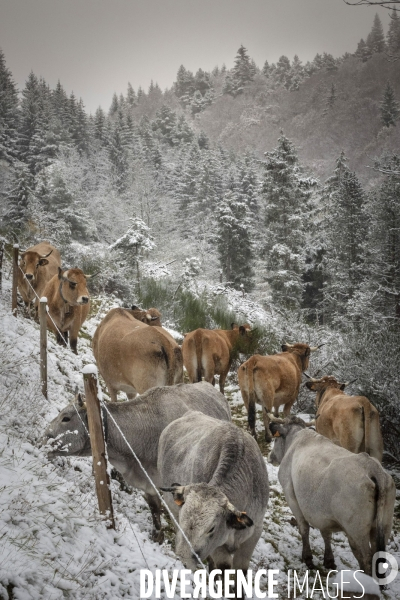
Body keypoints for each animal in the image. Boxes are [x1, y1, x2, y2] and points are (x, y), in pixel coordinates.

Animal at [159, 412, 268, 576]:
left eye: (211, 528)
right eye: (182, 519)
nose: (183, 561)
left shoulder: (255, 533)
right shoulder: (218, 548)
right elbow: (223, 567)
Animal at [268, 414, 394, 576]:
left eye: (275, 439)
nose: (271, 457)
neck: (296, 438)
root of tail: (372, 467)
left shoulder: (291, 496)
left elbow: (304, 528)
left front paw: (307, 558)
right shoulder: (323, 515)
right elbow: (326, 534)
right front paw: (328, 561)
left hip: (357, 533)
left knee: (366, 560)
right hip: (384, 527)